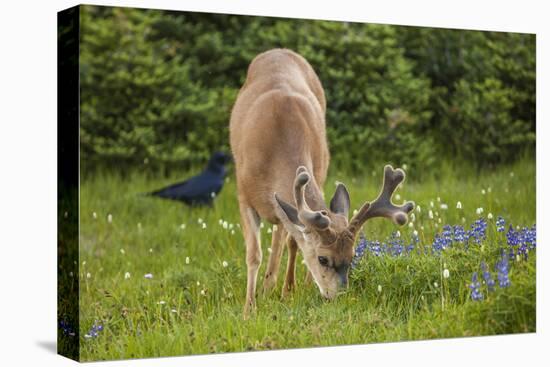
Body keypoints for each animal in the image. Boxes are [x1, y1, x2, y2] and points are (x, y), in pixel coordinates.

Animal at [229, 49, 414, 320]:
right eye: (323, 259)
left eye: (352, 256)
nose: (337, 297)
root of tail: (279, 51)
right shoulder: (243, 194)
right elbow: (254, 255)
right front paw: (248, 309)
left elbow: (293, 240)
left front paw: (288, 291)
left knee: (284, 236)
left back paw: (282, 286)